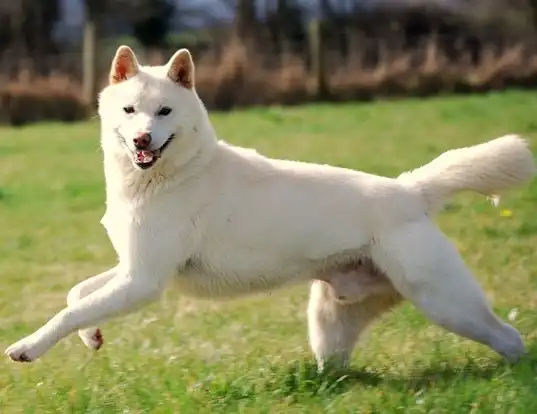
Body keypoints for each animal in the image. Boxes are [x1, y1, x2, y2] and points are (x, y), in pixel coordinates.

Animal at [5, 45, 536, 368]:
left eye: (165, 112)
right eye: (130, 110)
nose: (141, 140)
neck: (170, 175)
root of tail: (411, 191)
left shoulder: (143, 281)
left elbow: (68, 312)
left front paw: (29, 347)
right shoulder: (131, 268)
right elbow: (76, 294)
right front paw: (92, 337)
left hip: (446, 302)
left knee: (510, 339)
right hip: (331, 323)